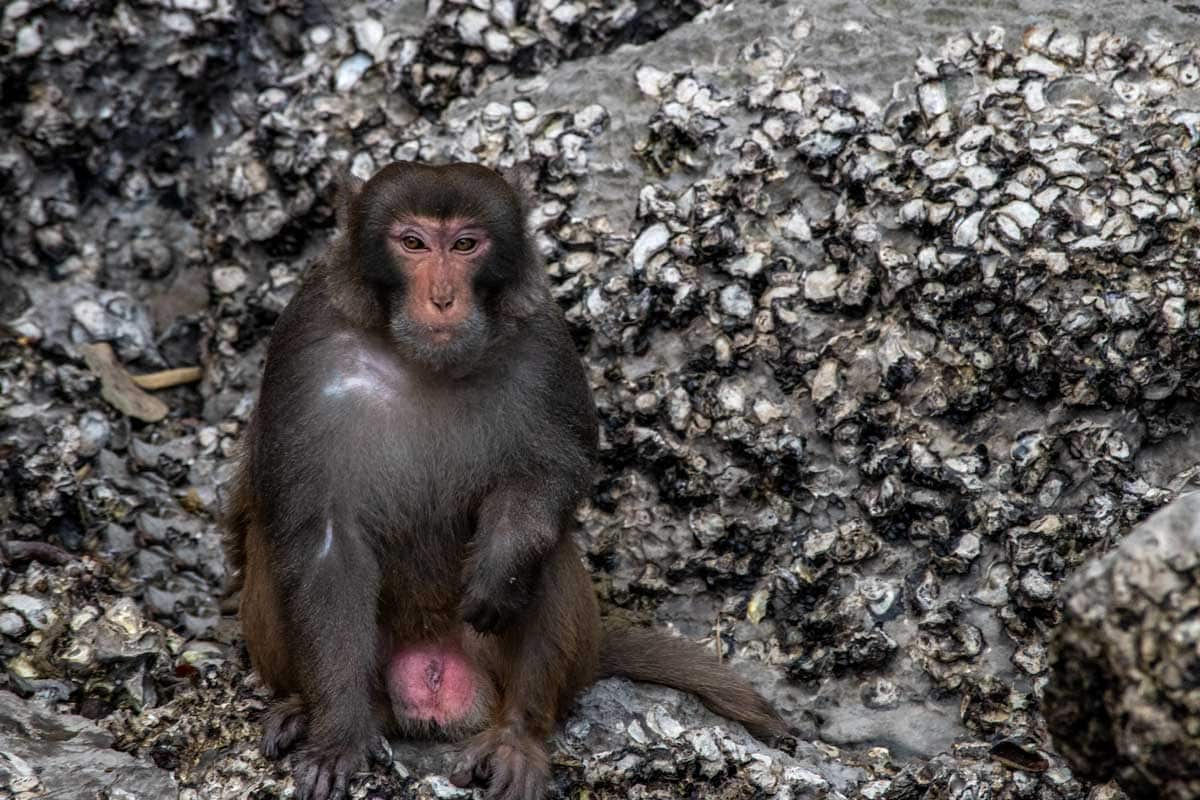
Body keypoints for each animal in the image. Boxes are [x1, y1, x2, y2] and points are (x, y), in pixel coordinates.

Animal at [220, 163, 792, 800]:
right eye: (413, 242)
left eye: (466, 244)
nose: (443, 298)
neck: (423, 361)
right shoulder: (305, 343)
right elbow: (323, 539)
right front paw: (338, 734)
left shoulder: (541, 335)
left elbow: (554, 475)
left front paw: (504, 556)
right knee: (272, 543)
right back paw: (303, 706)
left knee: (550, 549)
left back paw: (517, 737)